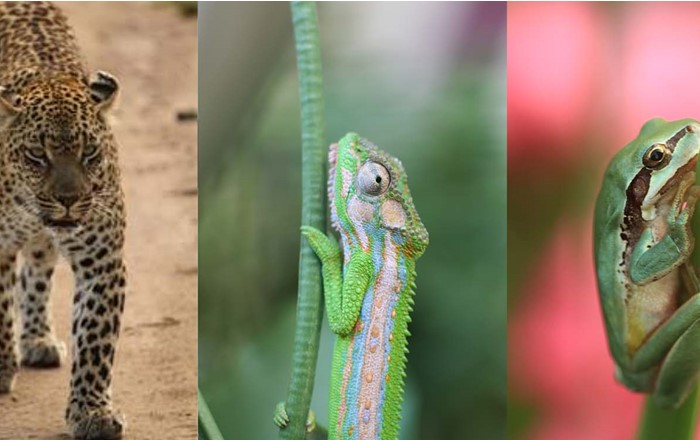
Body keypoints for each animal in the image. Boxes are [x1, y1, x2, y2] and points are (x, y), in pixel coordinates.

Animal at [0, 1, 128, 438]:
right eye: (38, 155)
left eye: (90, 153)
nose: (69, 200)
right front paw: (0, 369)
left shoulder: (102, 261)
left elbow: (94, 338)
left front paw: (92, 412)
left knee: (37, 266)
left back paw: (37, 338)